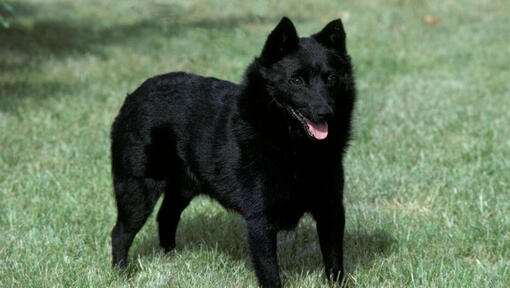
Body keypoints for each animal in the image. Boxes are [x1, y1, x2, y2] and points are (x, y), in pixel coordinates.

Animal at [111, 16, 354, 286]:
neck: (294, 146)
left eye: (330, 79)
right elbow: (270, 274)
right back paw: (121, 274)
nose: (325, 113)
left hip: (182, 188)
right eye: (297, 81)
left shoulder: (331, 210)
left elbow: (334, 264)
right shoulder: (260, 222)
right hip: (137, 190)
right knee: (120, 233)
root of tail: (132, 96)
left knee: (166, 217)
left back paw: (170, 260)